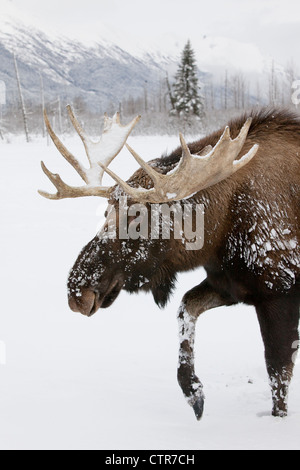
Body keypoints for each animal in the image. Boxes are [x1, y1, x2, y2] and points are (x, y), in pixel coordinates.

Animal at [39, 108, 300, 420]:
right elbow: (186, 309)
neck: (222, 231)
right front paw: (194, 392)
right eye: (105, 212)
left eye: (137, 217)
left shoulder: (279, 294)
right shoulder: (228, 285)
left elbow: (278, 375)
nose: (78, 292)